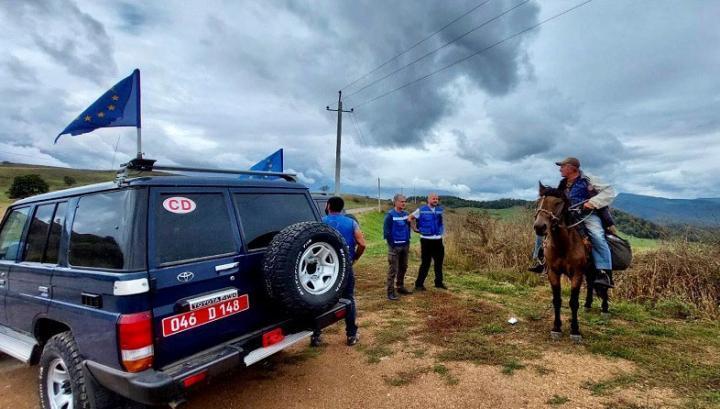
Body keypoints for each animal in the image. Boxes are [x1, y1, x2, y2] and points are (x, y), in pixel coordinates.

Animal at [532, 182, 612, 342]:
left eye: (558, 203)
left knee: (604, 284)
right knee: (591, 283)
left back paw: (605, 308)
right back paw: (587, 305)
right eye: (539, 202)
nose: (539, 227)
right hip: (589, 270)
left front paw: (575, 330)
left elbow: (573, 302)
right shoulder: (553, 273)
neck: (563, 245)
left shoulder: (577, 274)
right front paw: (556, 328)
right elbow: (557, 300)